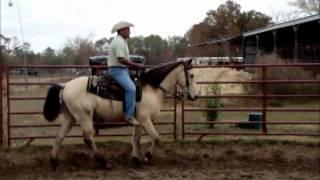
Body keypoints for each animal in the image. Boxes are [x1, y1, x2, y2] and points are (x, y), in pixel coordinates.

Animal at [42, 59, 198, 170]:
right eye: (191, 75)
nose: (195, 96)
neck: (150, 88)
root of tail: (65, 86)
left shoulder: (139, 120)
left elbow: (136, 139)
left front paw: (135, 159)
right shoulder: (145, 119)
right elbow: (156, 137)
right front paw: (147, 156)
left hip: (70, 117)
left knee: (59, 137)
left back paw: (53, 162)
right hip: (84, 116)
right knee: (88, 139)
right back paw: (104, 163)